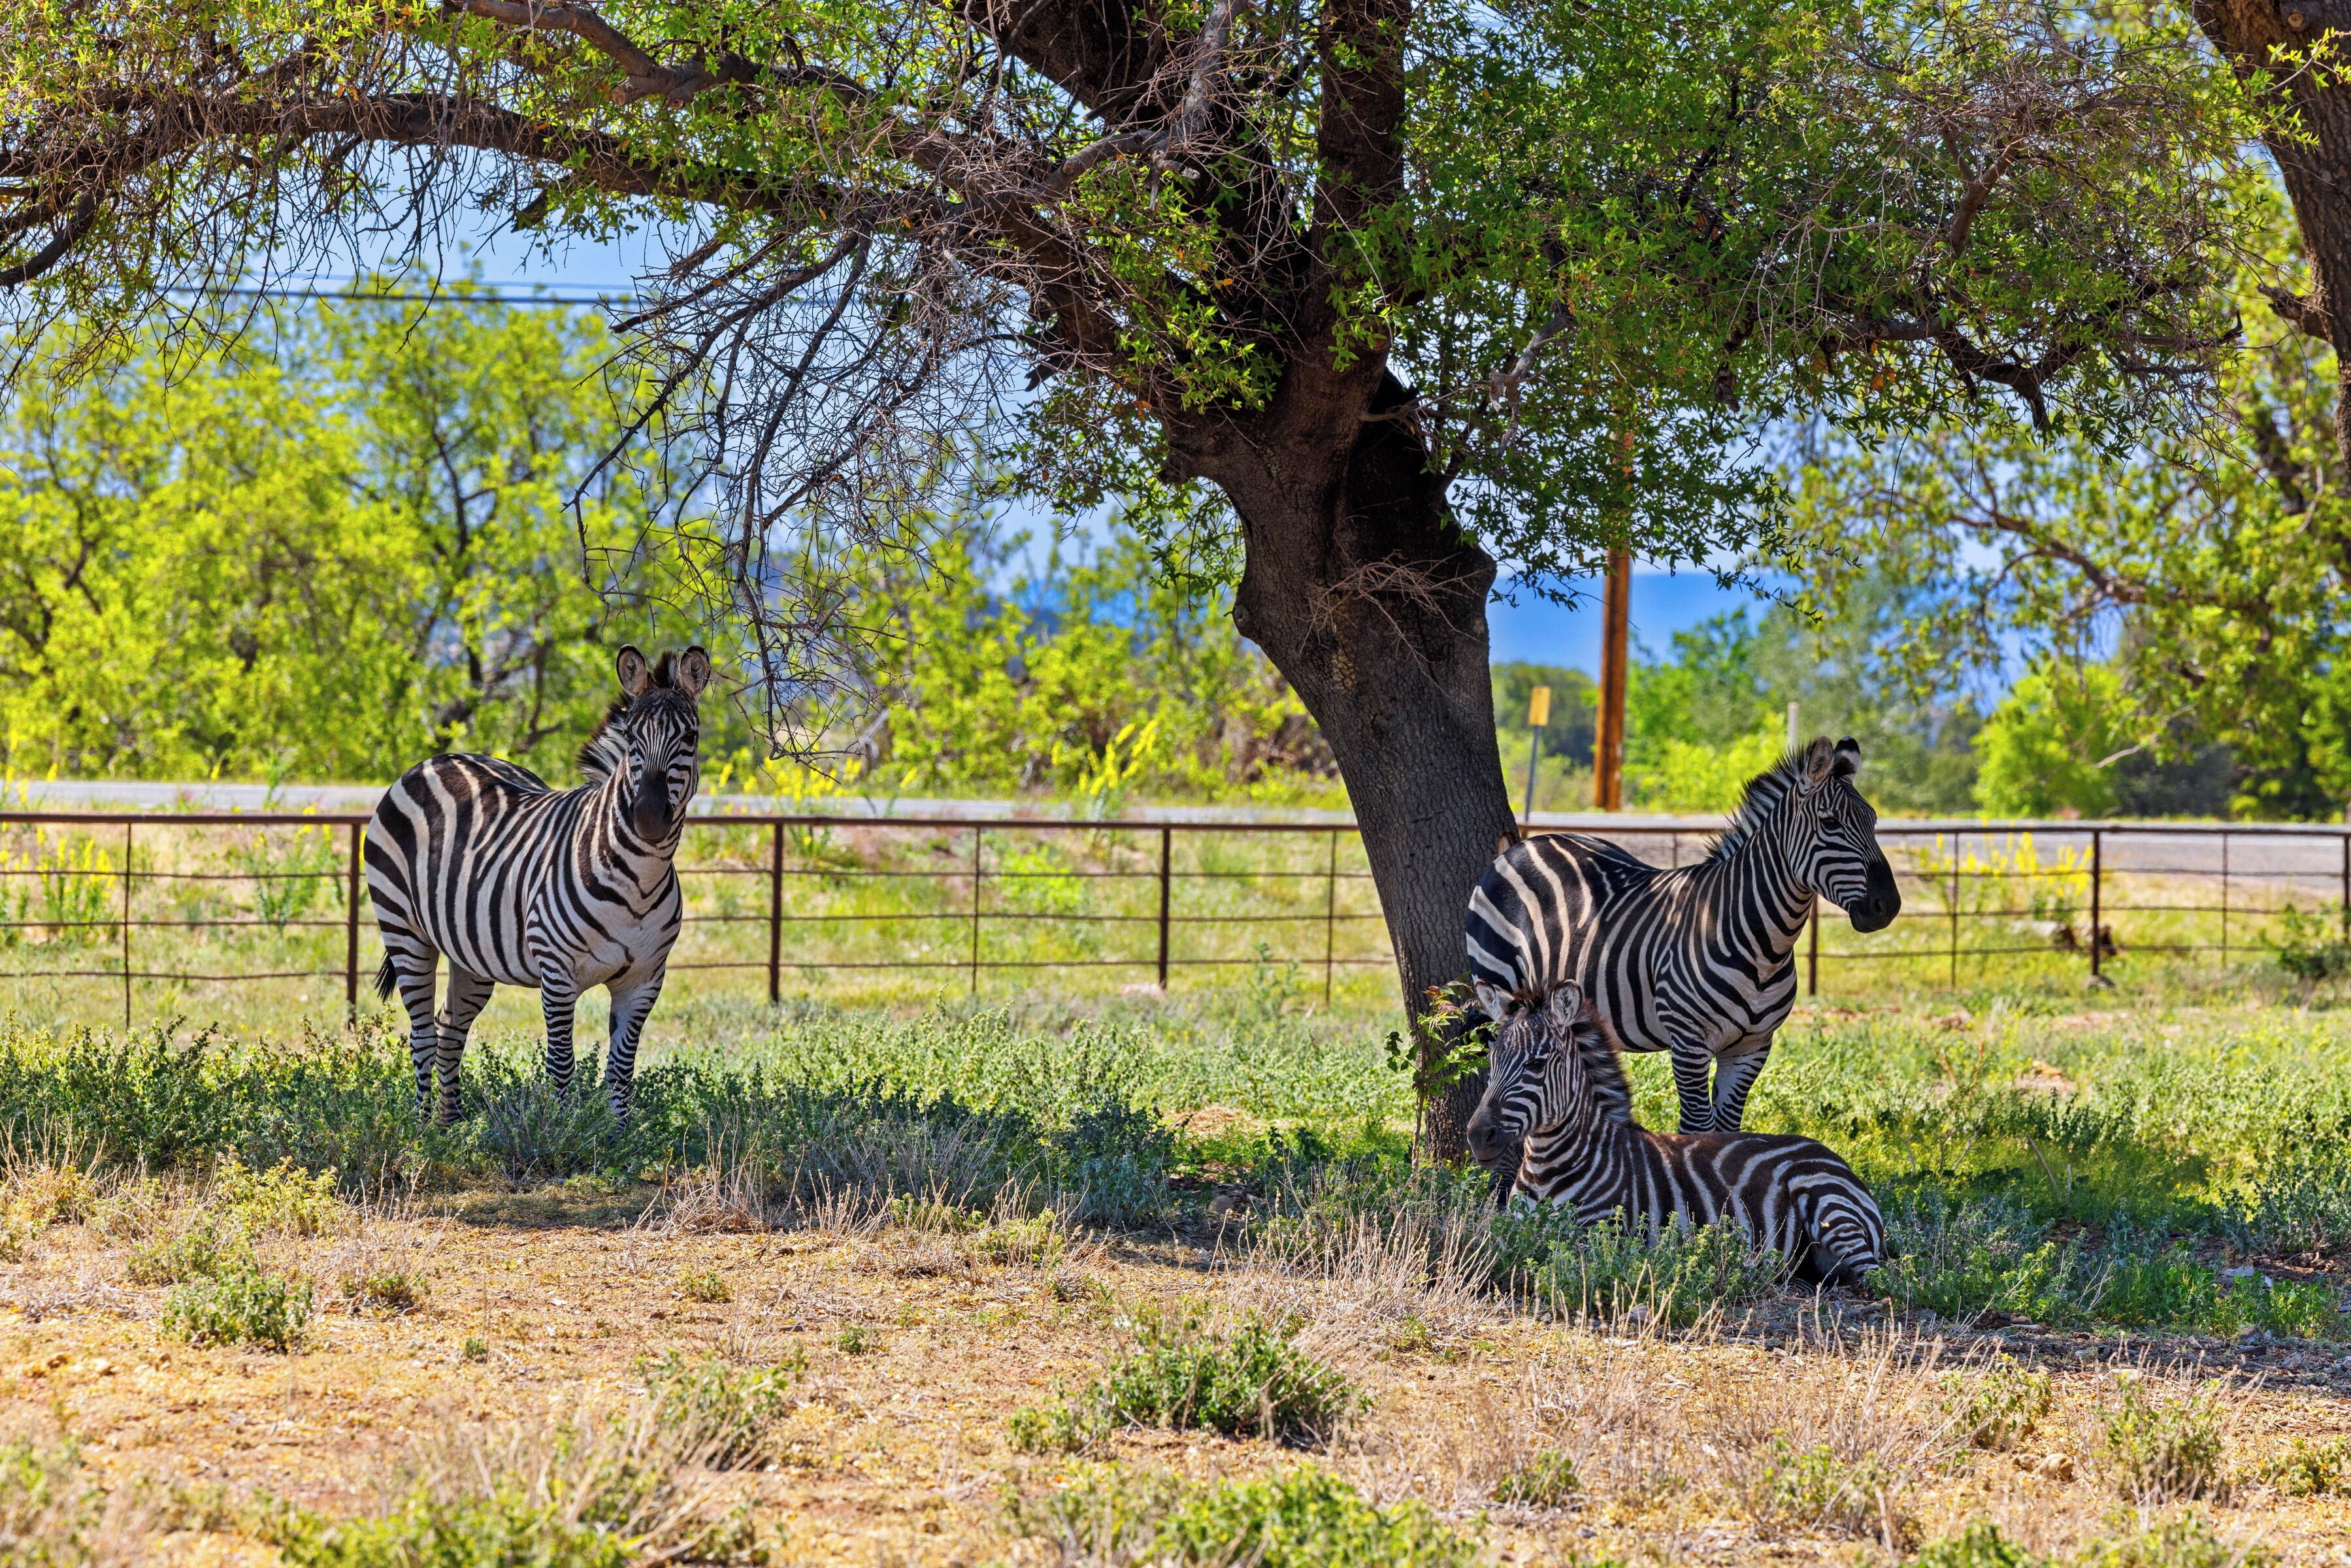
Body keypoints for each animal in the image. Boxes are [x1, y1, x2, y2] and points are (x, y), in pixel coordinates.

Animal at [365, 645, 710, 1125]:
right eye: (632, 739)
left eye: (690, 737)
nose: (648, 817)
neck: (639, 881)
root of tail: (435, 760)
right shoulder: (557, 972)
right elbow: (562, 1064)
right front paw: (563, 1133)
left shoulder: (644, 981)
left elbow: (621, 1070)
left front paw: (618, 1135)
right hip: (405, 931)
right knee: (422, 1036)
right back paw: (422, 1129)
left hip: (470, 954)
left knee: (448, 1030)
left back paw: (452, 1127)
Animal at [1464, 977, 1884, 1286]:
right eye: (1492, 1058)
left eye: (1536, 1064)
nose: (1477, 1135)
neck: (1546, 1165)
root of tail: (1836, 1158)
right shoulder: (1509, 1225)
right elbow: (1480, 1247)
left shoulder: (1597, 1236)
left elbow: (1544, 1262)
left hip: (1830, 1208)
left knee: (1877, 1279)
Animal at [1465, 736, 1899, 1137]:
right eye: (1830, 823)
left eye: (1875, 822)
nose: (1889, 906)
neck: (1763, 944)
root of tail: (1524, 845)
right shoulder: (1690, 1045)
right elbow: (1697, 1128)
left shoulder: (1753, 1047)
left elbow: (1728, 1130)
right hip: (1497, 984)